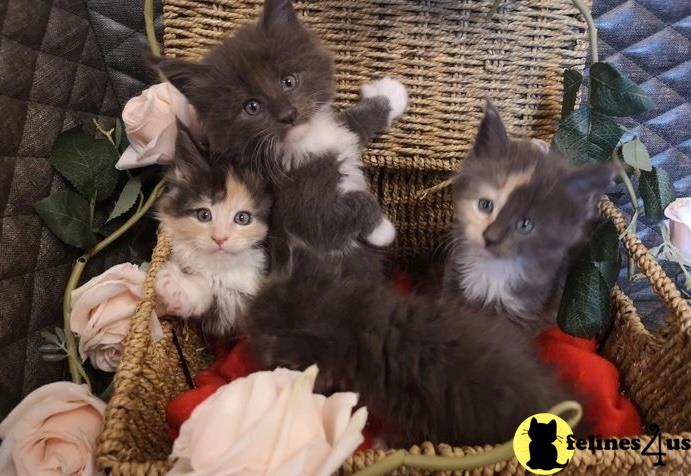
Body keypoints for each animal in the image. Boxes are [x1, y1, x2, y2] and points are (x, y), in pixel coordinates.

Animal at [154, 0, 408, 278]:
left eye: (289, 81)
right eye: (252, 107)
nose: (288, 115)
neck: (302, 142)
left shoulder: (335, 134)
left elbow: (351, 123)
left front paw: (390, 96)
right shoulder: (304, 215)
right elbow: (352, 205)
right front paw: (383, 230)